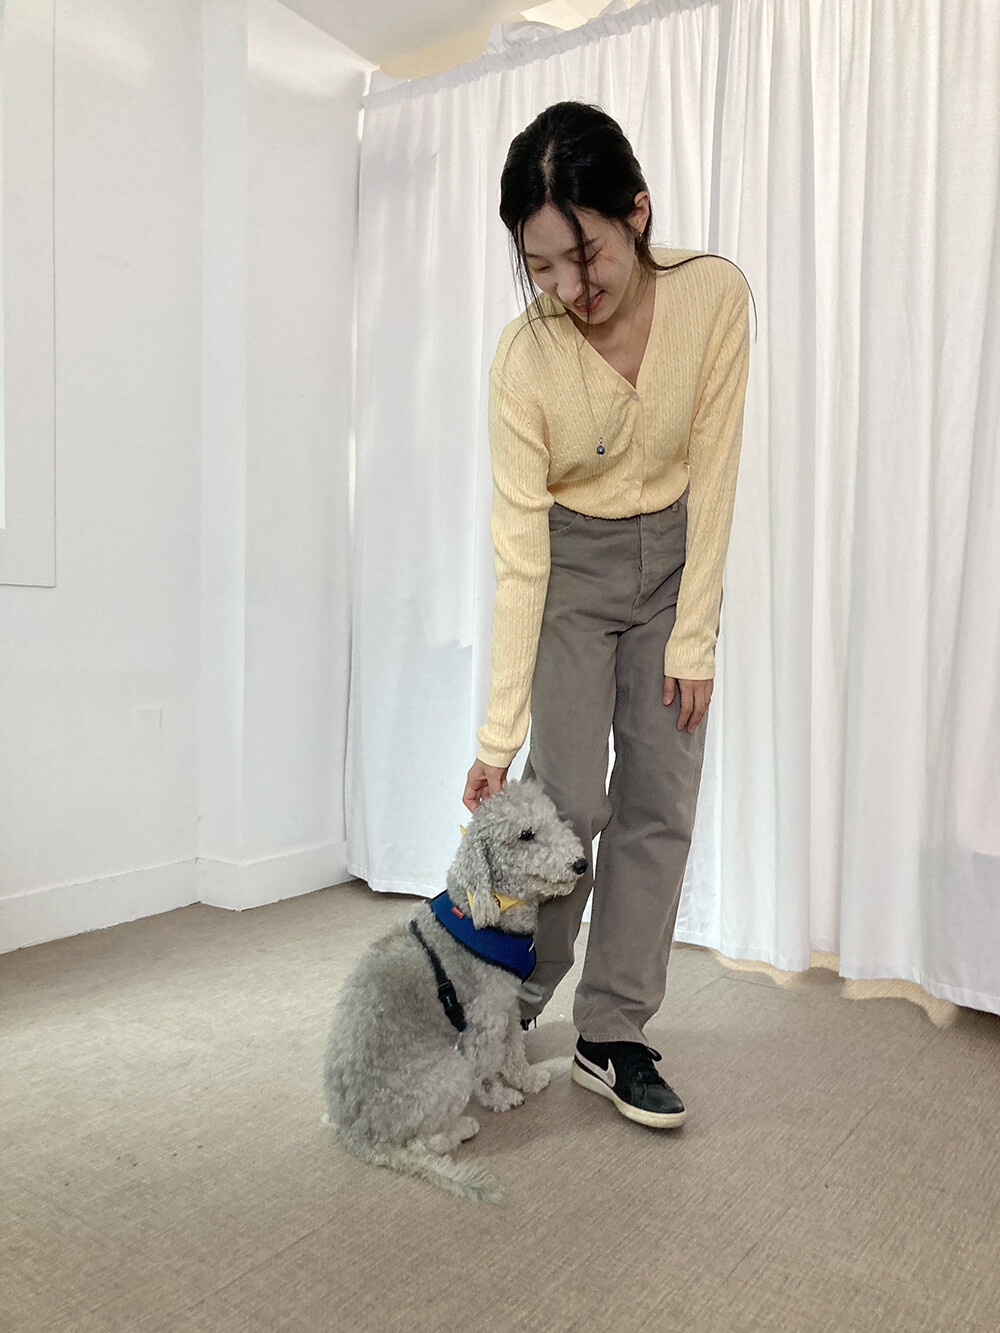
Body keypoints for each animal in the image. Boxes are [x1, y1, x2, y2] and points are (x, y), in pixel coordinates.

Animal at [323, 779, 587, 1202]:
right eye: (526, 835)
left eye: (553, 820)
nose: (580, 864)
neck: (492, 915)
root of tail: (360, 1140)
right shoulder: (484, 1019)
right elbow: (488, 1070)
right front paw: (502, 1097)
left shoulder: (507, 1004)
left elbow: (515, 1050)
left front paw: (527, 1079)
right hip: (449, 1072)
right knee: (422, 1143)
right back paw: (461, 1128)